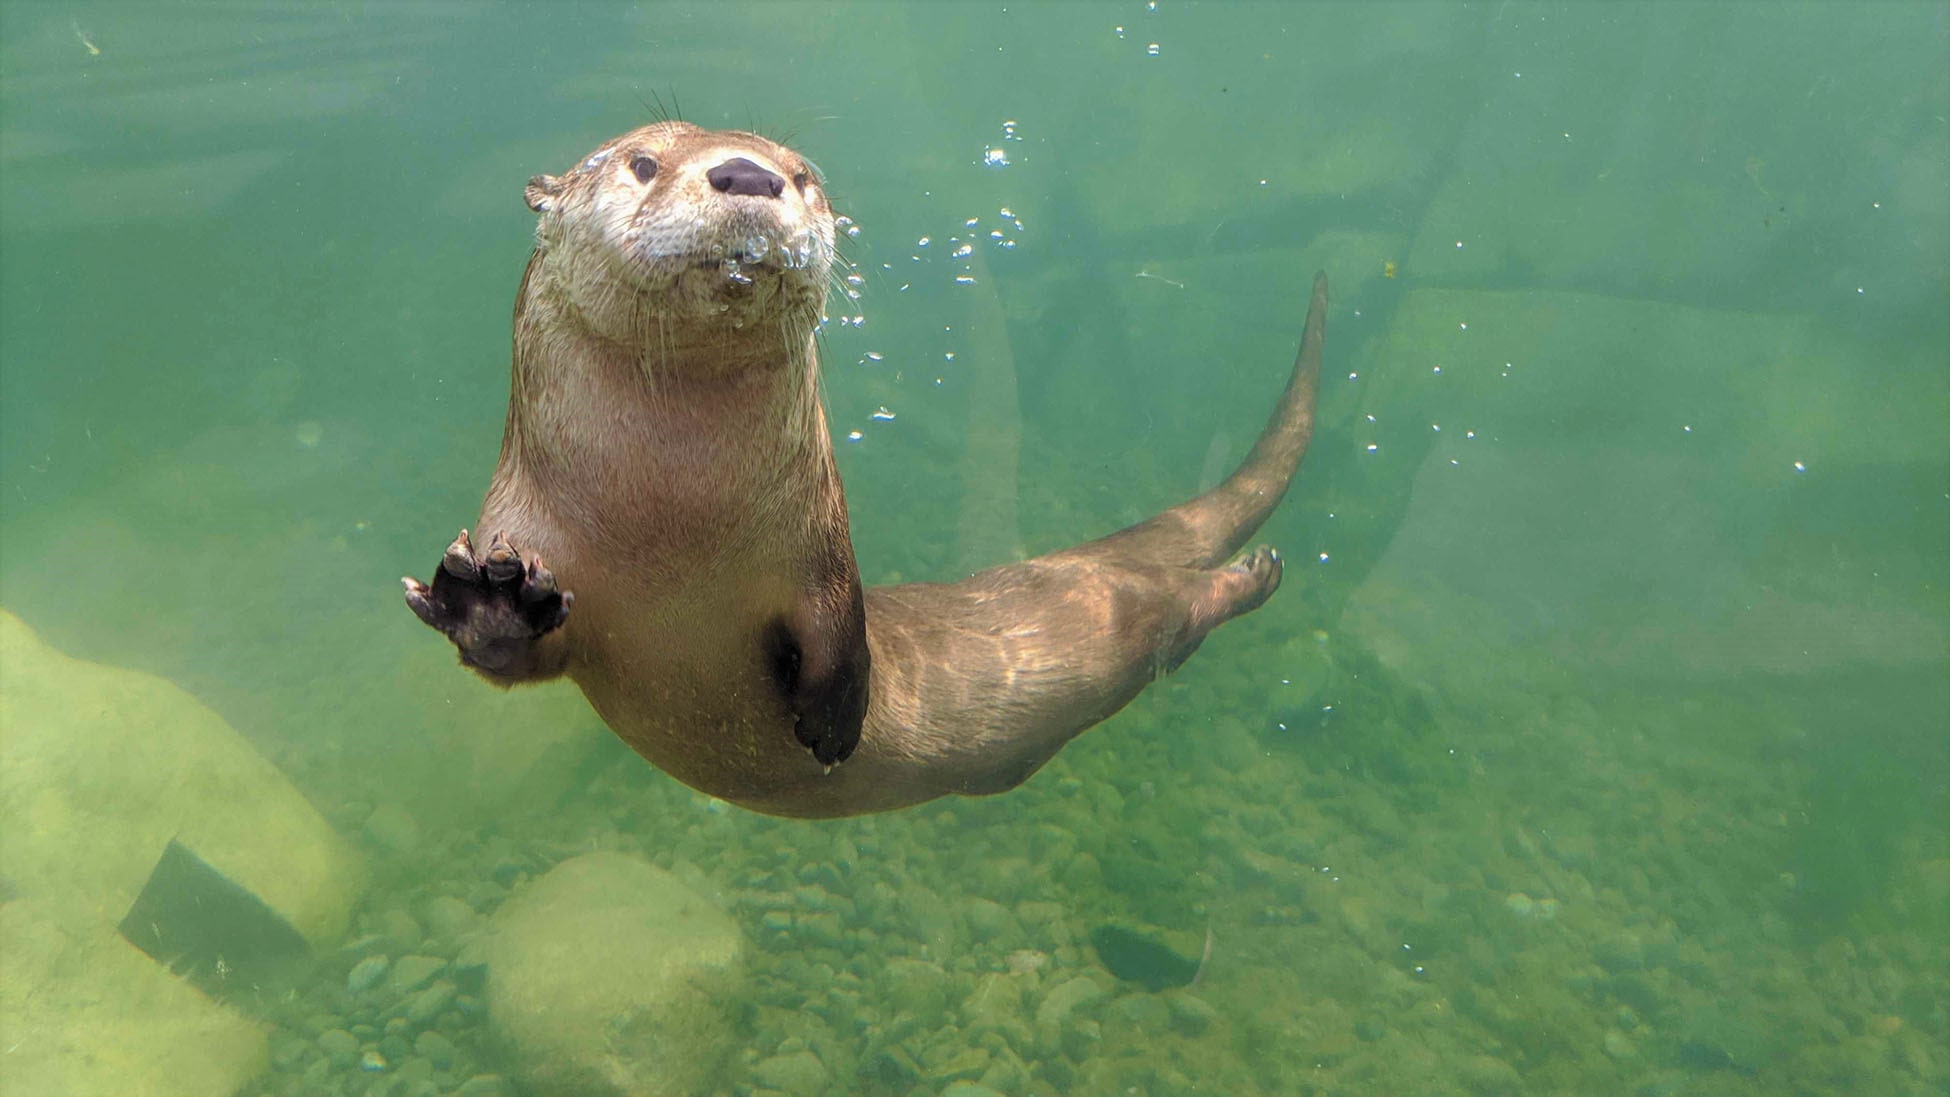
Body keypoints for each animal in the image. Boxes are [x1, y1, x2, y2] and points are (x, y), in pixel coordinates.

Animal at [405, 124, 1333, 818]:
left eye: (803, 174)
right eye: (642, 161)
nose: (748, 174)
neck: (668, 527)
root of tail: (1085, 563)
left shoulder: (817, 542)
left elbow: (840, 625)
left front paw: (835, 725)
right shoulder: (521, 522)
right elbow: (506, 658)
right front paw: (495, 598)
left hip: (1111, 629)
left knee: (1177, 611)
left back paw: (1255, 573)